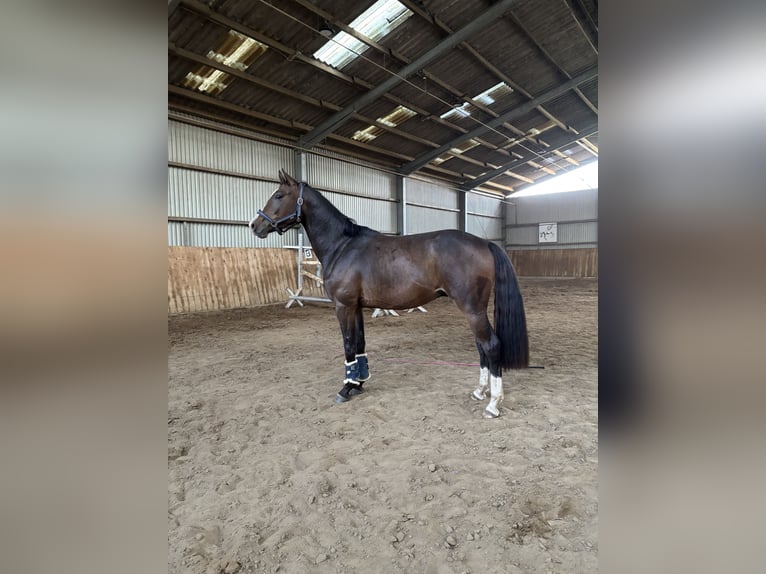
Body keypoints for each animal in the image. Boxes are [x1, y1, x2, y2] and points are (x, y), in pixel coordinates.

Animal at [249, 169, 529, 418]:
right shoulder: (357, 307)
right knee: (481, 347)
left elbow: (348, 344)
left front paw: (345, 388)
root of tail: (485, 243)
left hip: (472, 309)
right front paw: (359, 383)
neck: (342, 246)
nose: (255, 225)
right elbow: (360, 343)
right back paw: (480, 391)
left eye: (278, 195)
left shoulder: (343, 306)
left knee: (491, 345)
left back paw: (493, 404)